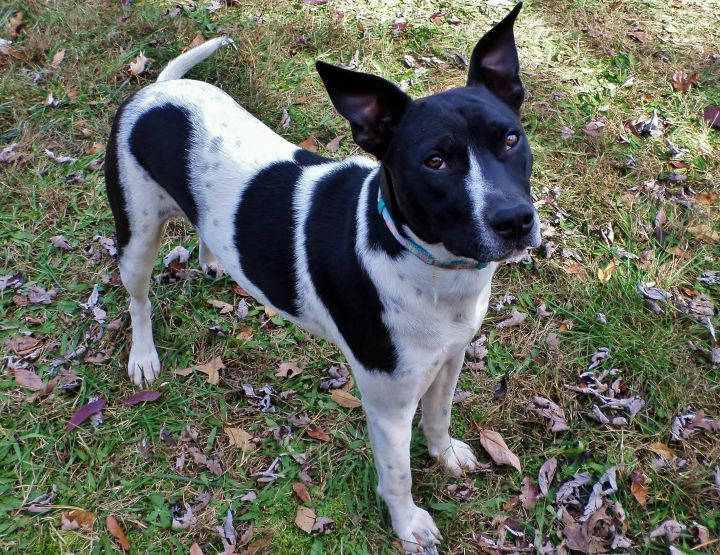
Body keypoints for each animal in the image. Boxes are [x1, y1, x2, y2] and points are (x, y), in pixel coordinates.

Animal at [104, 3, 536, 552]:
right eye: (434, 161)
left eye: (510, 139)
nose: (515, 220)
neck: (423, 262)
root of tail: (156, 90)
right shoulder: (388, 405)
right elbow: (397, 475)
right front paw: (408, 524)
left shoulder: (450, 357)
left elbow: (439, 416)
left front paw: (445, 455)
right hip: (136, 237)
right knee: (138, 300)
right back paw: (143, 355)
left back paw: (214, 258)